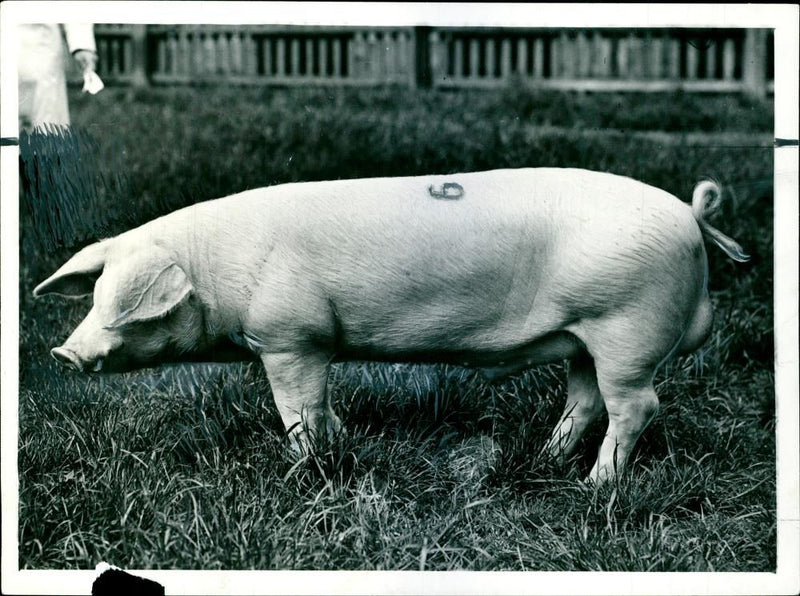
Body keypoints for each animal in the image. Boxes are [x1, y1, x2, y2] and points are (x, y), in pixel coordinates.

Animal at [32, 169, 752, 484]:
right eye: (95, 294)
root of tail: (690, 217)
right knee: (586, 398)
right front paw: (340, 442)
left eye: (126, 304)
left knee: (637, 405)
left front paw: (302, 468)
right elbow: (322, 409)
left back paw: (598, 486)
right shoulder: (314, 345)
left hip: (625, 325)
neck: (218, 273)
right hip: (585, 336)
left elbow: (296, 410)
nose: (65, 353)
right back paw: (547, 459)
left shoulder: (290, 338)